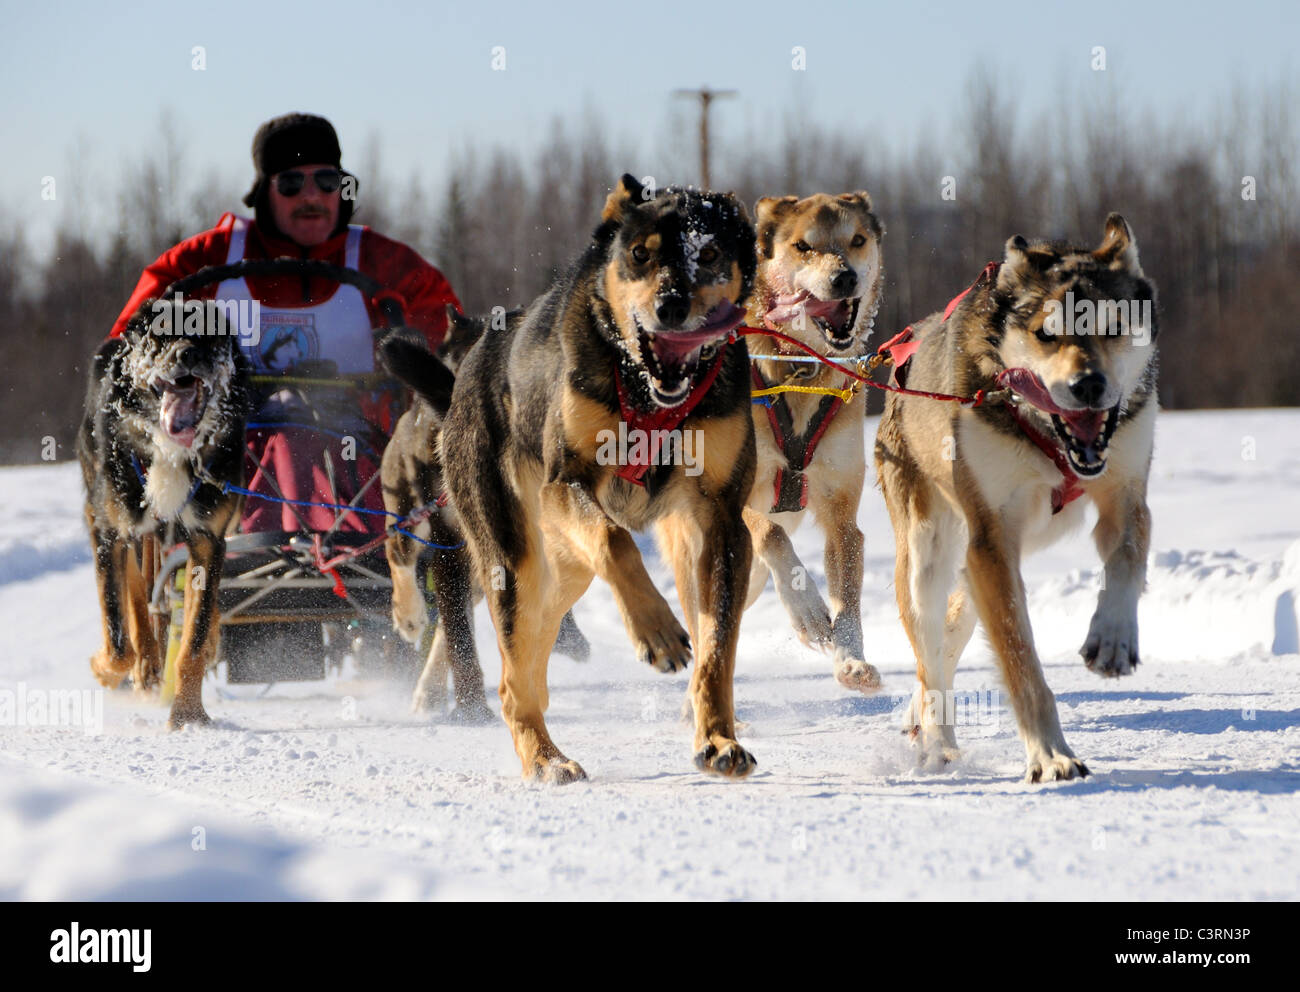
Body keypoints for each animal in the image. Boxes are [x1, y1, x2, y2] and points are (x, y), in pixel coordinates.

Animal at [78, 299, 250, 728]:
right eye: (159, 334)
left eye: (207, 335)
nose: (187, 353)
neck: (171, 452)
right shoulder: (108, 529)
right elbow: (117, 633)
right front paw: (105, 667)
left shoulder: (208, 537)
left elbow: (194, 636)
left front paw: (189, 714)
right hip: (121, 519)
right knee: (137, 590)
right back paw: (146, 665)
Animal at [379, 176, 759, 785]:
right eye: (640, 254)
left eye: (708, 254)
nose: (671, 306)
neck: (644, 393)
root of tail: (462, 382)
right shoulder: (565, 483)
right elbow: (616, 539)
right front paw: (655, 628)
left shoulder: (722, 522)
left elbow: (717, 649)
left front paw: (718, 738)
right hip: (512, 561)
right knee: (512, 679)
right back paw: (544, 757)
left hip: (561, 574)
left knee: (533, 653)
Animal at [743, 192, 883, 691]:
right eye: (803, 246)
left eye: (857, 240)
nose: (844, 277)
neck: (800, 371)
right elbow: (773, 535)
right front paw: (806, 612)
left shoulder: (841, 512)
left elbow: (848, 589)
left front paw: (851, 660)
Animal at [873, 217, 1159, 785]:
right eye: (1046, 333)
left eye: (1114, 326)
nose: (1088, 384)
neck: (1048, 437)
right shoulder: (990, 538)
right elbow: (1020, 659)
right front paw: (1050, 755)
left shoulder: (1127, 497)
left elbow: (1128, 558)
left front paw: (1113, 637)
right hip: (929, 556)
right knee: (929, 657)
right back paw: (939, 743)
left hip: (977, 563)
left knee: (948, 635)